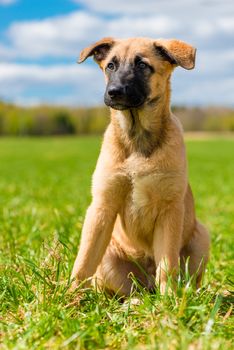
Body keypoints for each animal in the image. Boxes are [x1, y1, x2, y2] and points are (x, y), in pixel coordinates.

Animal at [70, 37, 209, 296]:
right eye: (110, 65)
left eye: (143, 65)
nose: (114, 92)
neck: (137, 138)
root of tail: (147, 283)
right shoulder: (102, 206)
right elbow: (84, 260)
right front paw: (68, 296)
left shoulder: (169, 211)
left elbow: (167, 263)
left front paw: (169, 300)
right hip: (110, 257)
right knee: (125, 293)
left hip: (202, 237)